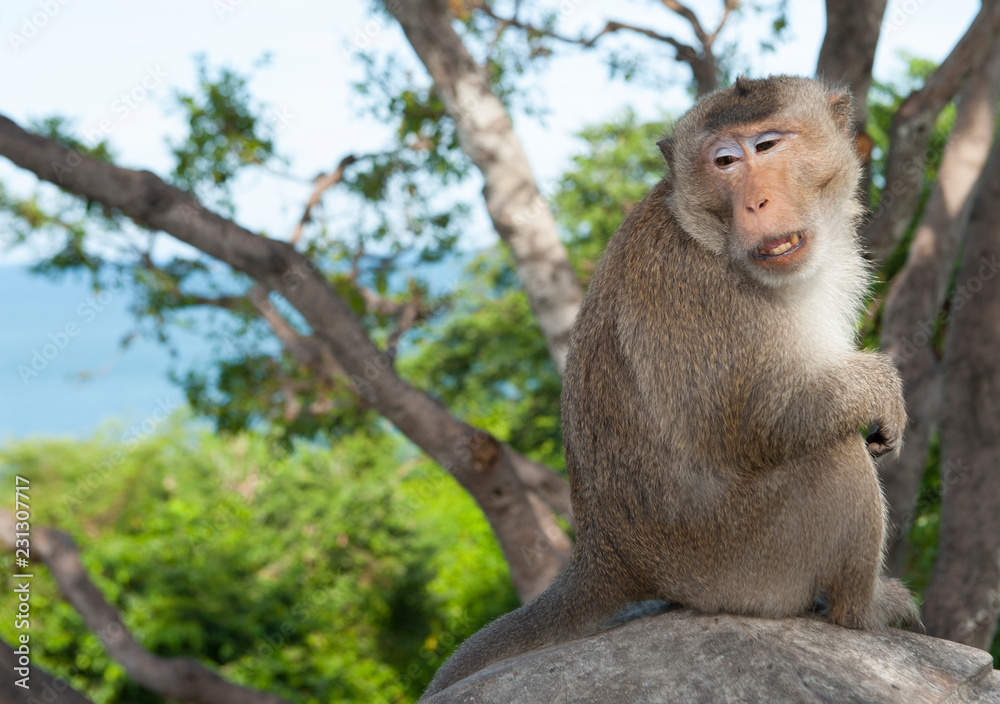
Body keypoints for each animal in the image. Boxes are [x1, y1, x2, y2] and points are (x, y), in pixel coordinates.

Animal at [422, 75, 918, 698]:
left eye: (768, 145)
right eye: (725, 161)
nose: (755, 202)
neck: (707, 233)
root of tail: (609, 554)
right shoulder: (698, 291)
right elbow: (758, 418)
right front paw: (880, 389)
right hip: (742, 564)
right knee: (830, 457)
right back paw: (863, 608)